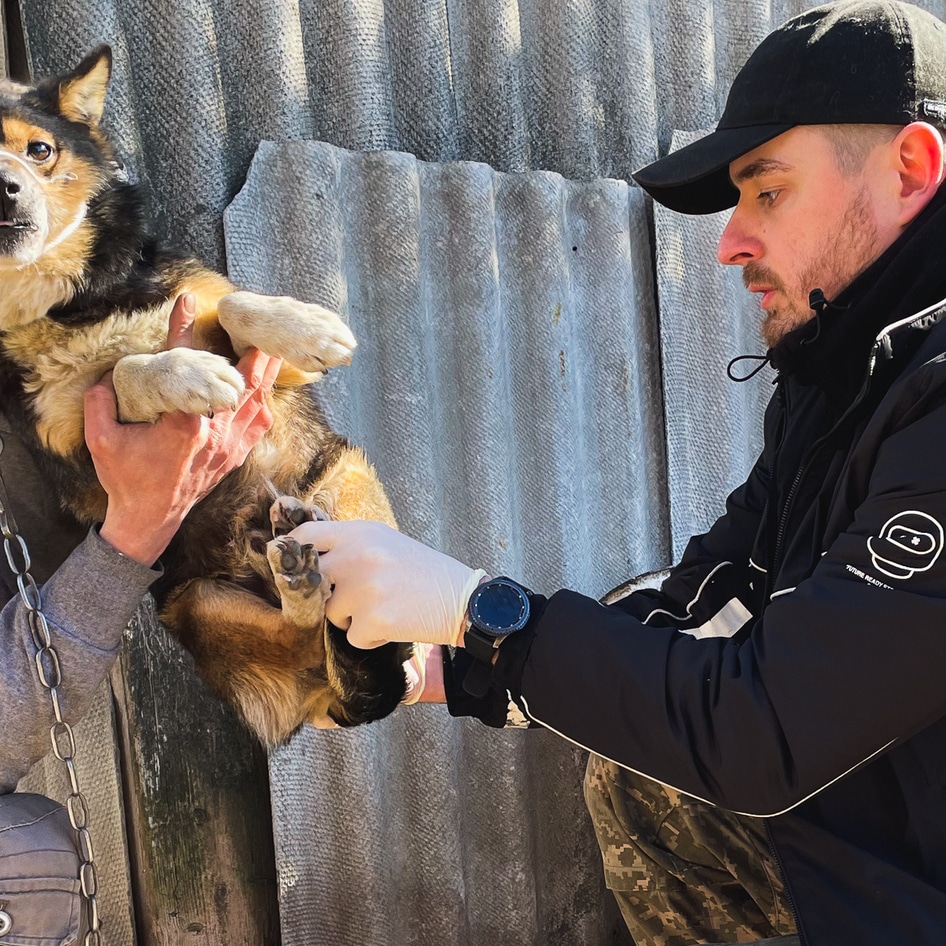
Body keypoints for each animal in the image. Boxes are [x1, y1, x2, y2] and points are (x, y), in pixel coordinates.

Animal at [0, 46, 412, 744]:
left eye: (39, 150)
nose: (7, 188)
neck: (75, 306)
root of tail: (328, 703)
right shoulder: (73, 447)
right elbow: (123, 371)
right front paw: (188, 373)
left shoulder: (265, 365)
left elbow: (236, 305)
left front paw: (308, 328)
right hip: (198, 600)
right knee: (309, 631)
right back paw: (299, 579)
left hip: (347, 481)